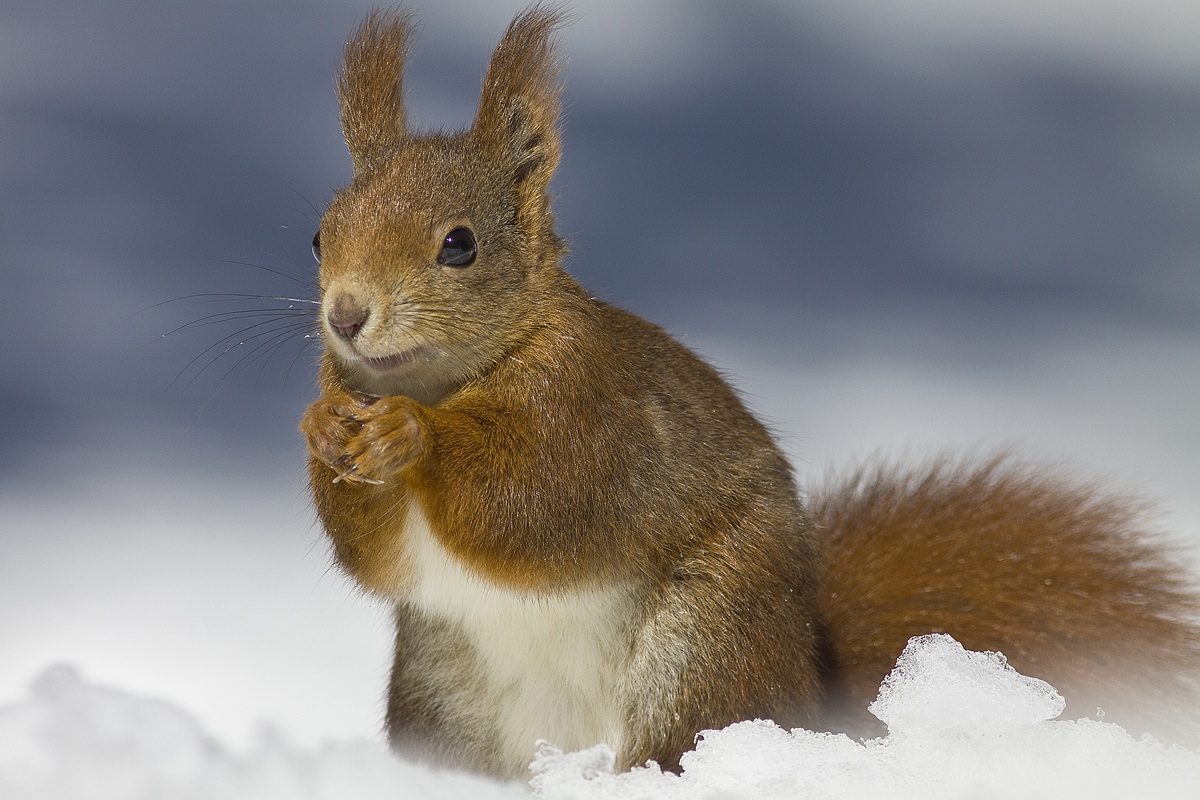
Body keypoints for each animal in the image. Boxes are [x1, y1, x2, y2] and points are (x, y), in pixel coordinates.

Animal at [302, 9, 1200, 777]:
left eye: (459, 245)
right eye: (319, 234)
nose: (345, 315)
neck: (450, 378)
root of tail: (809, 687)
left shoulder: (591, 410)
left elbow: (536, 501)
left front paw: (410, 435)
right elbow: (376, 555)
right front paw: (324, 427)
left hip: (703, 648)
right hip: (440, 688)